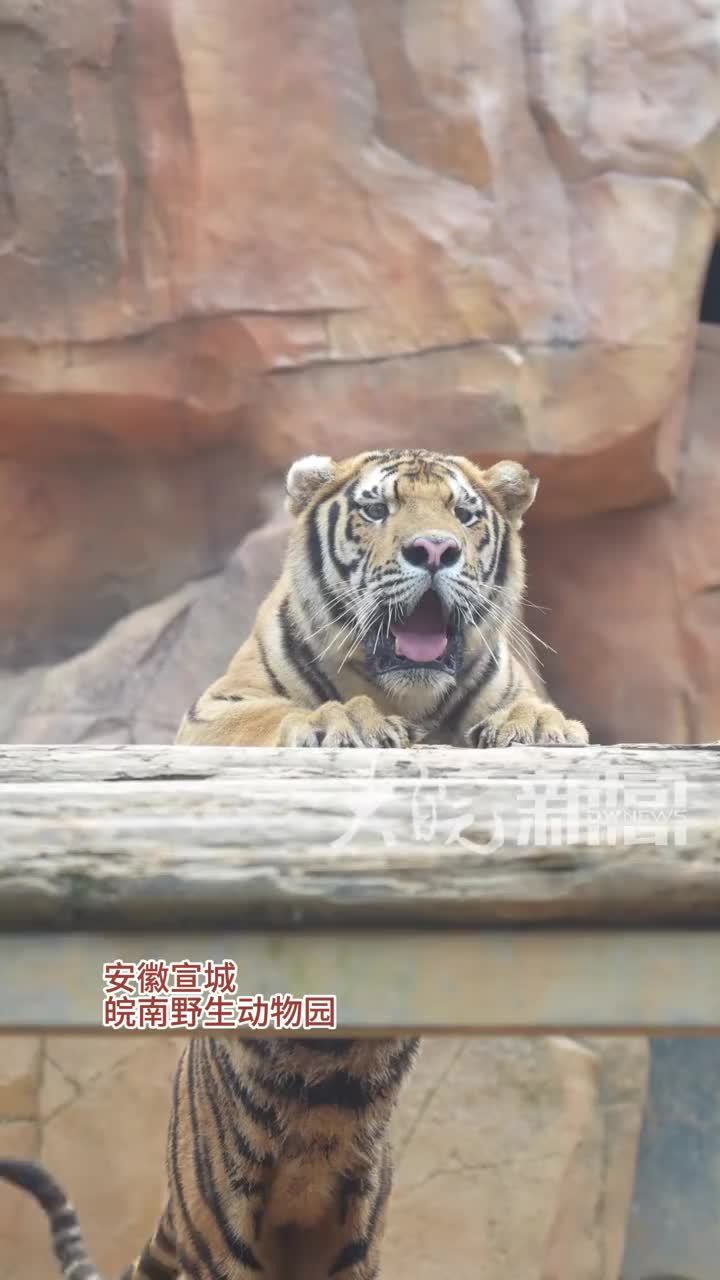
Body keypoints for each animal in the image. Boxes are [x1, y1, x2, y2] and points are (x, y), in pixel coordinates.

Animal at [0, 448, 587, 1280]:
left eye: (465, 515)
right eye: (377, 510)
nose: (433, 552)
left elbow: (523, 711)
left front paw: (542, 725)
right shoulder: (215, 712)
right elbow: (286, 712)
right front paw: (343, 719)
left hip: (350, 1226)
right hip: (219, 1218)